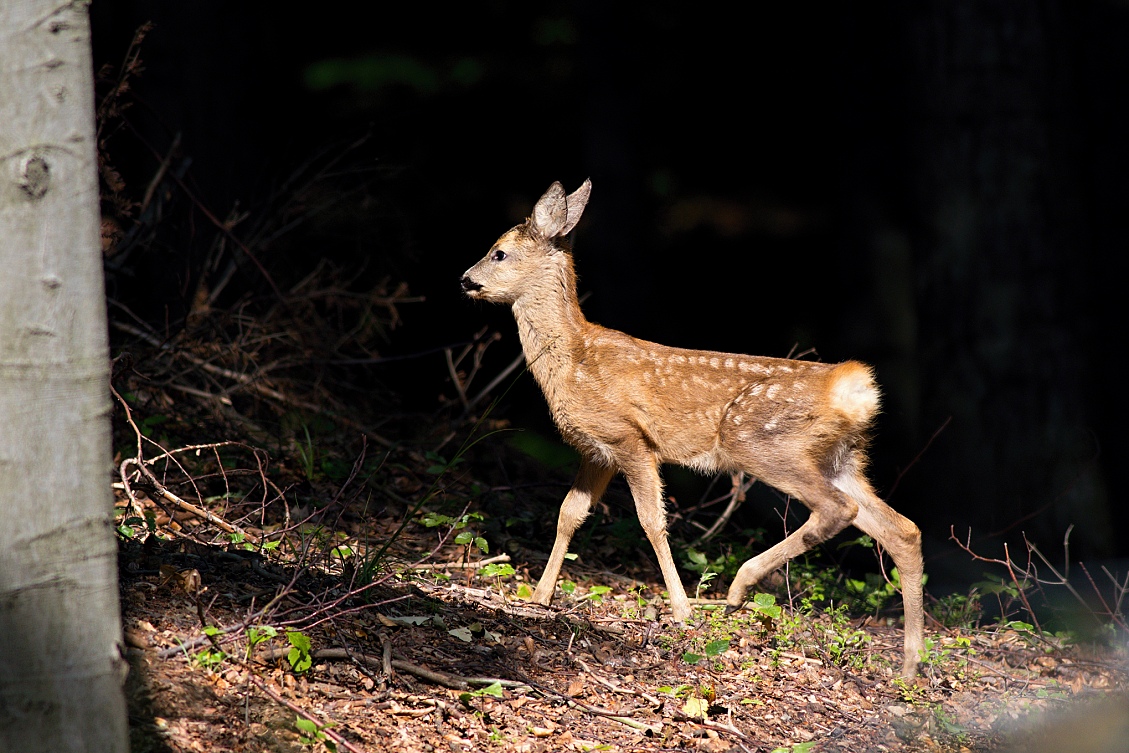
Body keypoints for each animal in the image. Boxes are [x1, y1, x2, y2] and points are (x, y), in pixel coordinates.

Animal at [460, 180, 925, 678]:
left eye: (500, 253)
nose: (464, 279)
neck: (572, 360)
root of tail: (854, 387)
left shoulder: (630, 438)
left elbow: (651, 521)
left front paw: (681, 609)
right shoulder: (595, 451)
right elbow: (570, 513)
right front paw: (541, 596)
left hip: (760, 441)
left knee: (837, 510)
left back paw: (737, 590)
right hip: (842, 459)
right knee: (903, 530)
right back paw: (912, 666)